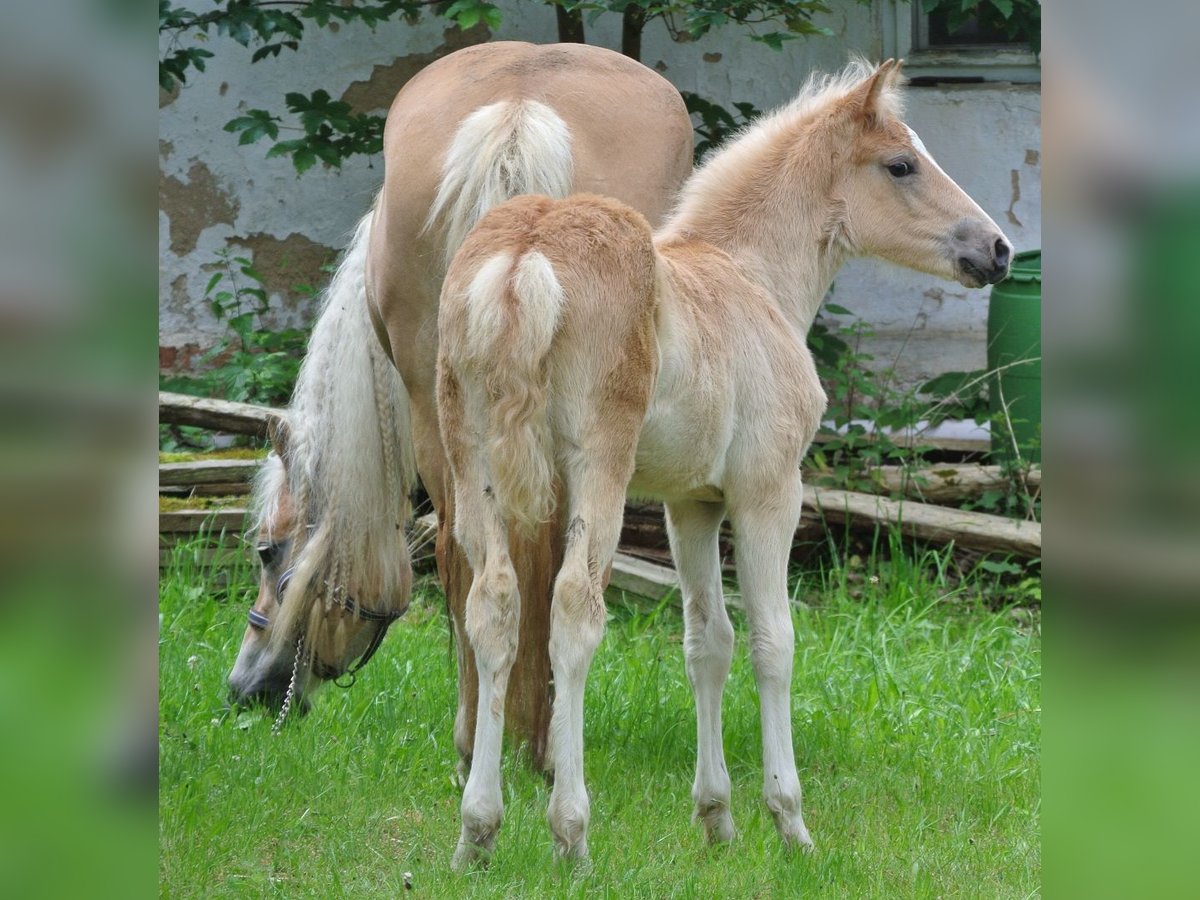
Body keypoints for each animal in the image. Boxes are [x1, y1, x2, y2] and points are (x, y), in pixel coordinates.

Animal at [436, 58, 1017, 868]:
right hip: (597, 469)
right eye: (902, 164)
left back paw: (477, 831)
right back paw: (571, 833)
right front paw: (789, 822)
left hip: (474, 463)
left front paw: (717, 817)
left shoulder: (692, 504)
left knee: (493, 609)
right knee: (573, 612)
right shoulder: (768, 490)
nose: (998, 250)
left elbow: (707, 642)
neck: (751, 279)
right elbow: (774, 641)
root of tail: (526, 252)